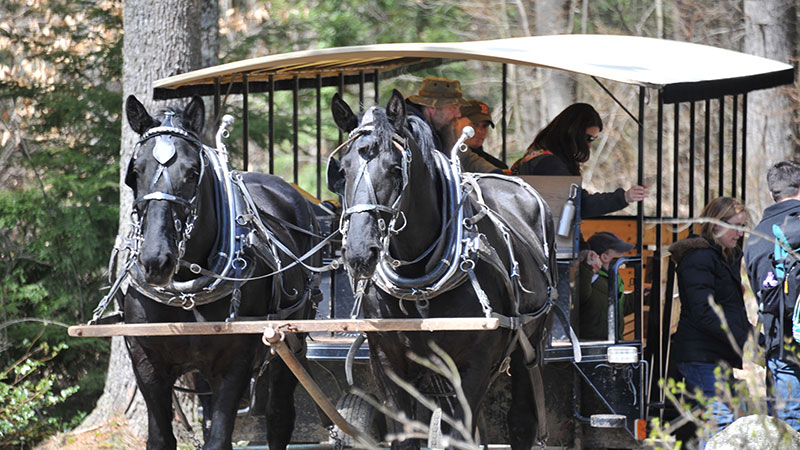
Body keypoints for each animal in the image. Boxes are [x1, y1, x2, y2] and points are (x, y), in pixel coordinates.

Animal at [121, 96, 318, 450]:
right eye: (135, 172)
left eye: (192, 172)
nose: (156, 260)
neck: (186, 291)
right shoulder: (147, 363)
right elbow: (161, 437)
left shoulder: (233, 364)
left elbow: (219, 438)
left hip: (290, 343)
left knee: (279, 416)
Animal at [328, 89, 560, 448]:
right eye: (342, 170)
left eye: (395, 169)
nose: (359, 252)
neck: (417, 283)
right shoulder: (388, 364)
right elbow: (405, 436)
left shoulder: (472, 366)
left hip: (530, 344)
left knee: (521, 421)